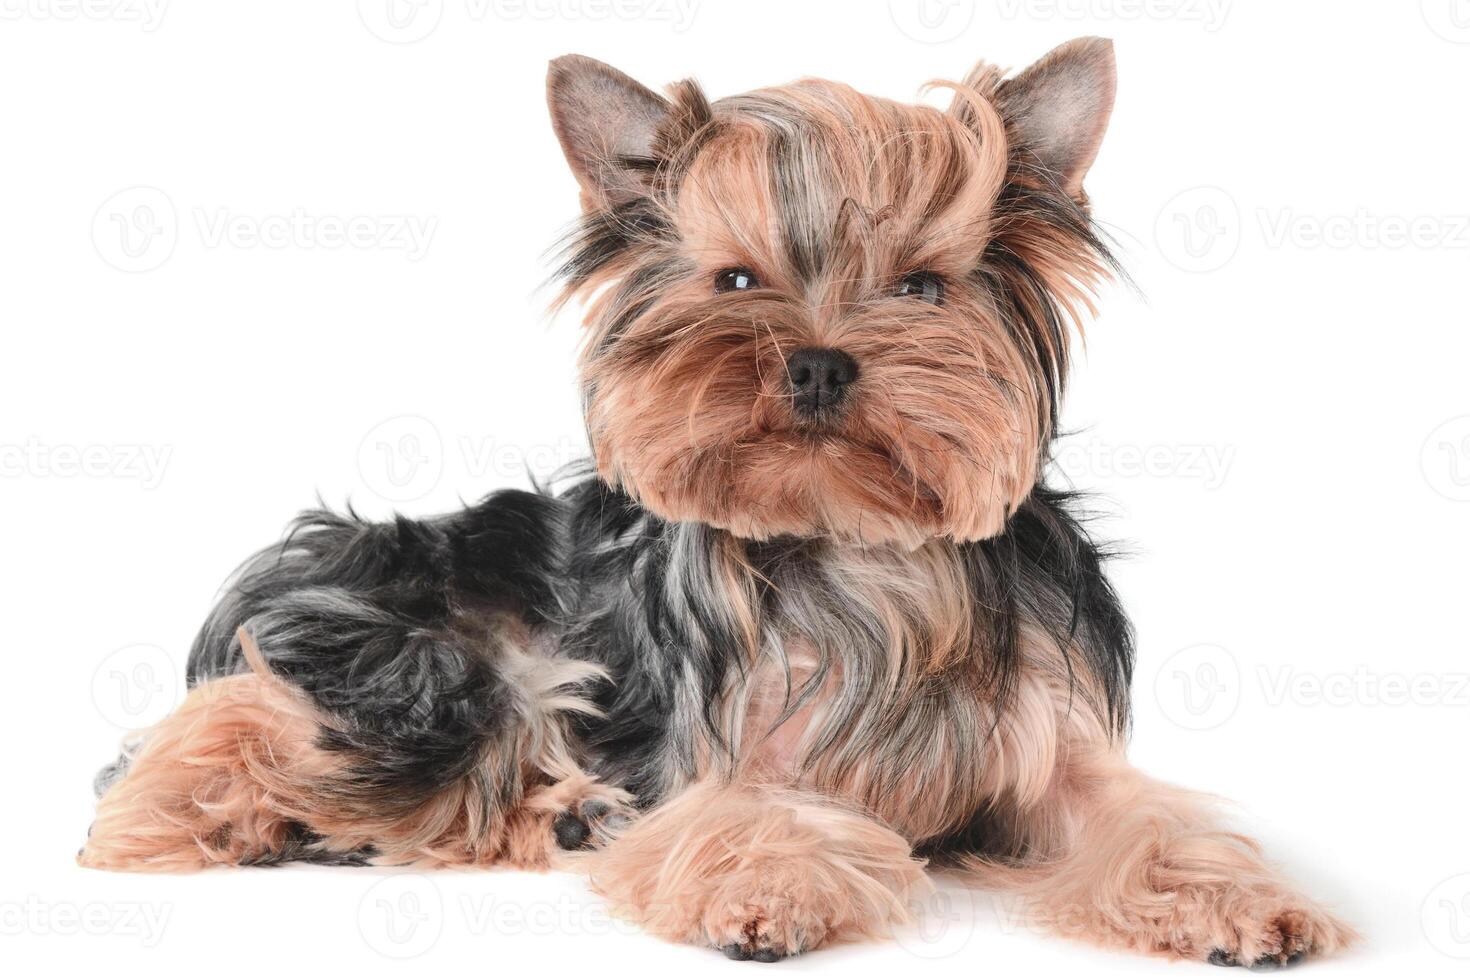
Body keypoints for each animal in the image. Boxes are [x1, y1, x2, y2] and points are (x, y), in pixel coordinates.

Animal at [77, 36, 1352, 963]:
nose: (819, 363)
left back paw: (558, 811)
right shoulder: (722, 748)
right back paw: (205, 810)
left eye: (922, 287)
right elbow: (746, 811)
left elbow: (1149, 818)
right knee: (248, 716)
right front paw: (769, 886)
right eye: (736, 278)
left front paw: (1242, 903)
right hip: (428, 657)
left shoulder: (1053, 738)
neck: (854, 545)